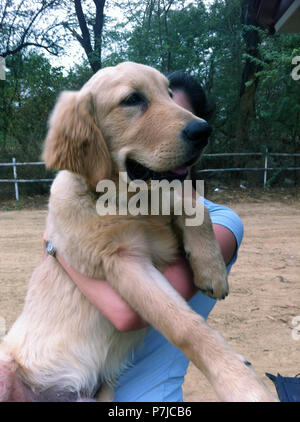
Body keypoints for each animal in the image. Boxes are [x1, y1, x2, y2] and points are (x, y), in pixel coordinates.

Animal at [0, 61, 278, 400]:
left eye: (169, 94)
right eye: (132, 100)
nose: (204, 131)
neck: (125, 202)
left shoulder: (164, 198)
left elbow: (194, 206)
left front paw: (212, 270)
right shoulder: (123, 262)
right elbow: (184, 325)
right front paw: (240, 384)